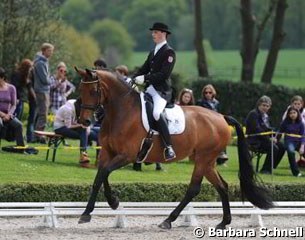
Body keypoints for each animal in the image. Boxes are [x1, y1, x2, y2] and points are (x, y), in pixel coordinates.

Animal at [75, 68, 272, 230]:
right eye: (80, 90)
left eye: (93, 91)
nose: (84, 121)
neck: (121, 111)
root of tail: (221, 117)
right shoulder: (107, 153)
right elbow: (101, 177)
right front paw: (109, 204)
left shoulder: (126, 155)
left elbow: (103, 174)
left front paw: (92, 211)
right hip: (207, 161)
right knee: (222, 186)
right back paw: (224, 222)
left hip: (203, 159)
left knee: (194, 189)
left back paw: (169, 220)